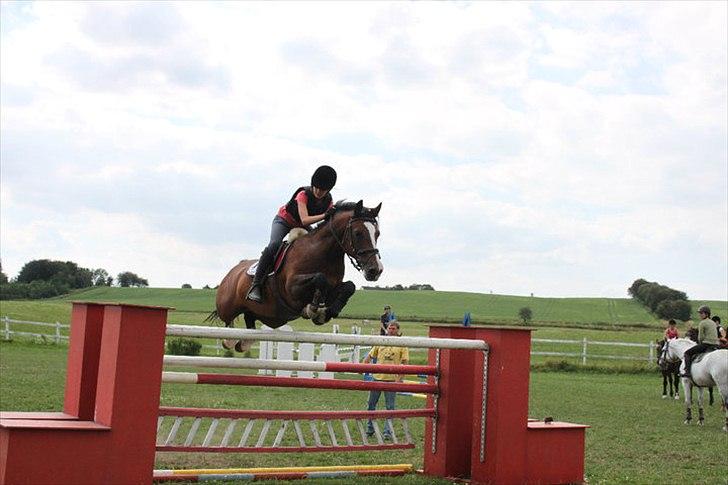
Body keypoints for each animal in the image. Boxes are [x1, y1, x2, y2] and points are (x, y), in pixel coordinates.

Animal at [209, 200, 384, 352]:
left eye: (377, 234)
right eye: (358, 233)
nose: (375, 270)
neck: (324, 254)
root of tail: (234, 270)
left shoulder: (334, 287)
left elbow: (349, 287)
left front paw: (327, 313)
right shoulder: (291, 289)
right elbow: (320, 279)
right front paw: (312, 309)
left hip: (259, 312)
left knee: (249, 321)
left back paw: (244, 343)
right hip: (227, 305)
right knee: (228, 322)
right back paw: (230, 339)